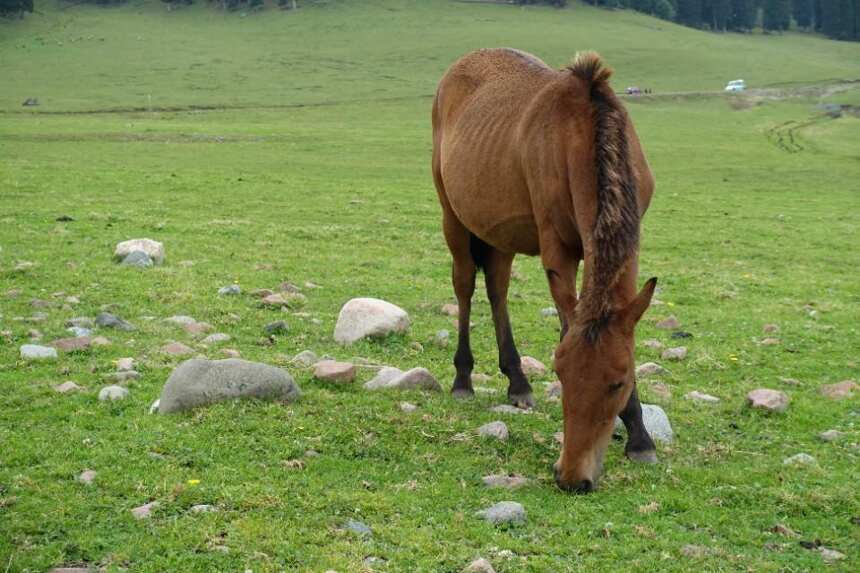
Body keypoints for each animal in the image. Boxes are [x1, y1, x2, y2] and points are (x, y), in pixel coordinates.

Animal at [434, 48, 660, 492]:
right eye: (561, 375)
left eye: (618, 381)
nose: (573, 477)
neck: (584, 132)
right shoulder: (557, 247)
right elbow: (564, 321)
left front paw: (639, 438)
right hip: (453, 216)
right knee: (465, 286)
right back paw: (463, 380)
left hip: (499, 233)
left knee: (497, 289)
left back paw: (517, 381)